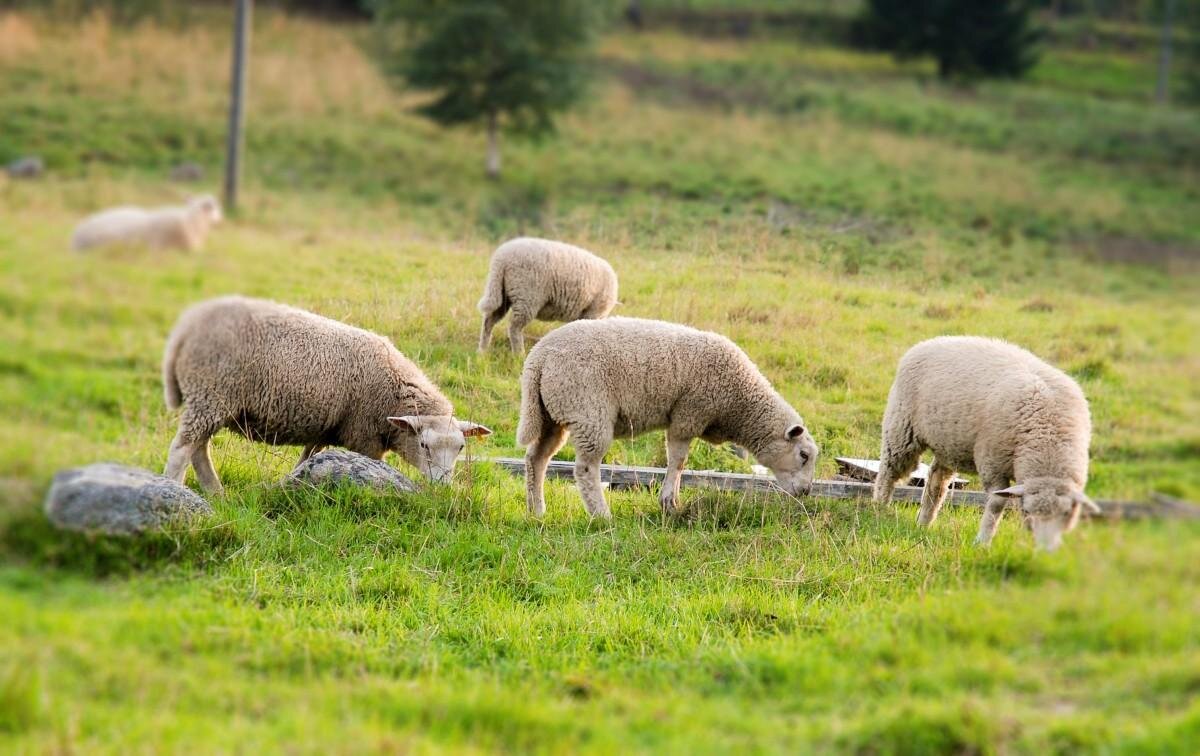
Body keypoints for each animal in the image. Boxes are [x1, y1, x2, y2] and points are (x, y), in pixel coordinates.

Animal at [163, 296, 492, 496]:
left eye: (461, 448)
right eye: (423, 445)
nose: (443, 487)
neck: (394, 391)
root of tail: (186, 327)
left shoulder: (326, 429)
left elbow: (307, 460)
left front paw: (293, 483)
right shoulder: (364, 437)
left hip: (212, 401)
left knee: (199, 448)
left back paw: (215, 492)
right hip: (210, 393)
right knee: (183, 448)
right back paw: (174, 487)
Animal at [472, 238, 619, 355]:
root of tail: (501, 260)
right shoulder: (593, 312)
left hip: (502, 293)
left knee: (488, 321)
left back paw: (482, 352)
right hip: (527, 296)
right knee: (514, 328)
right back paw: (519, 355)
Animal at [516, 316, 816, 518]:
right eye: (803, 455)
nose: (806, 492)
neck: (738, 403)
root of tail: (538, 359)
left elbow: (680, 463)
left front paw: (672, 501)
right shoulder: (688, 415)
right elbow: (678, 461)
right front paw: (669, 501)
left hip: (551, 414)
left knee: (536, 458)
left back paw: (537, 510)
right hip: (588, 410)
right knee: (585, 468)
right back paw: (601, 515)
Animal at [873, 338, 1099, 552]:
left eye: (1067, 513)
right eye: (1027, 511)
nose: (1046, 550)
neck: (1047, 437)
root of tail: (927, 343)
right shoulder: (992, 463)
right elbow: (996, 504)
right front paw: (983, 542)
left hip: (948, 444)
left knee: (936, 481)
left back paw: (924, 523)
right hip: (901, 428)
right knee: (889, 472)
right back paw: (879, 508)